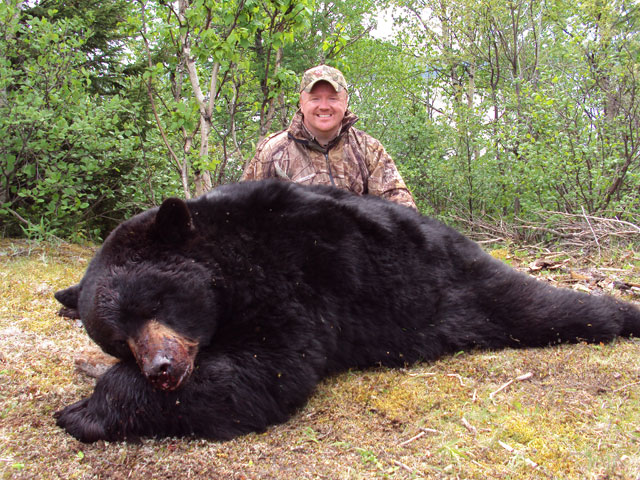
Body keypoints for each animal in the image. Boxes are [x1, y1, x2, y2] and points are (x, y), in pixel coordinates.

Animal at [55, 180, 640, 442]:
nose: (162, 369)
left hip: (459, 284)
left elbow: (264, 372)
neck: (230, 256)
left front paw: (84, 409)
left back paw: (623, 313)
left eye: (154, 300)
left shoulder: (290, 282)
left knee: (544, 306)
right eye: (117, 336)